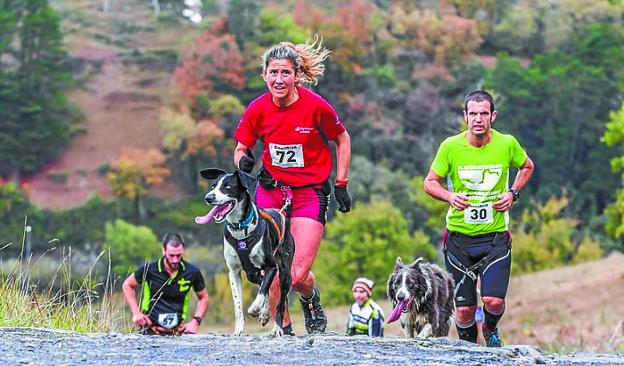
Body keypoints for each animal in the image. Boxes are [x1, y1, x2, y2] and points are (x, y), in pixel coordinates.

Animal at [195, 169, 294, 338]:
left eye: (227, 186)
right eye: (214, 186)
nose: (209, 198)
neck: (240, 229)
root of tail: (281, 214)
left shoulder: (271, 267)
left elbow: (262, 291)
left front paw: (255, 308)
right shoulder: (233, 272)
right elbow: (238, 304)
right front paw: (239, 329)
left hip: (284, 273)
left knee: (280, 301)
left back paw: (276, 328)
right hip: (252, 273)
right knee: (262, 283)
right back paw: (265, 313)